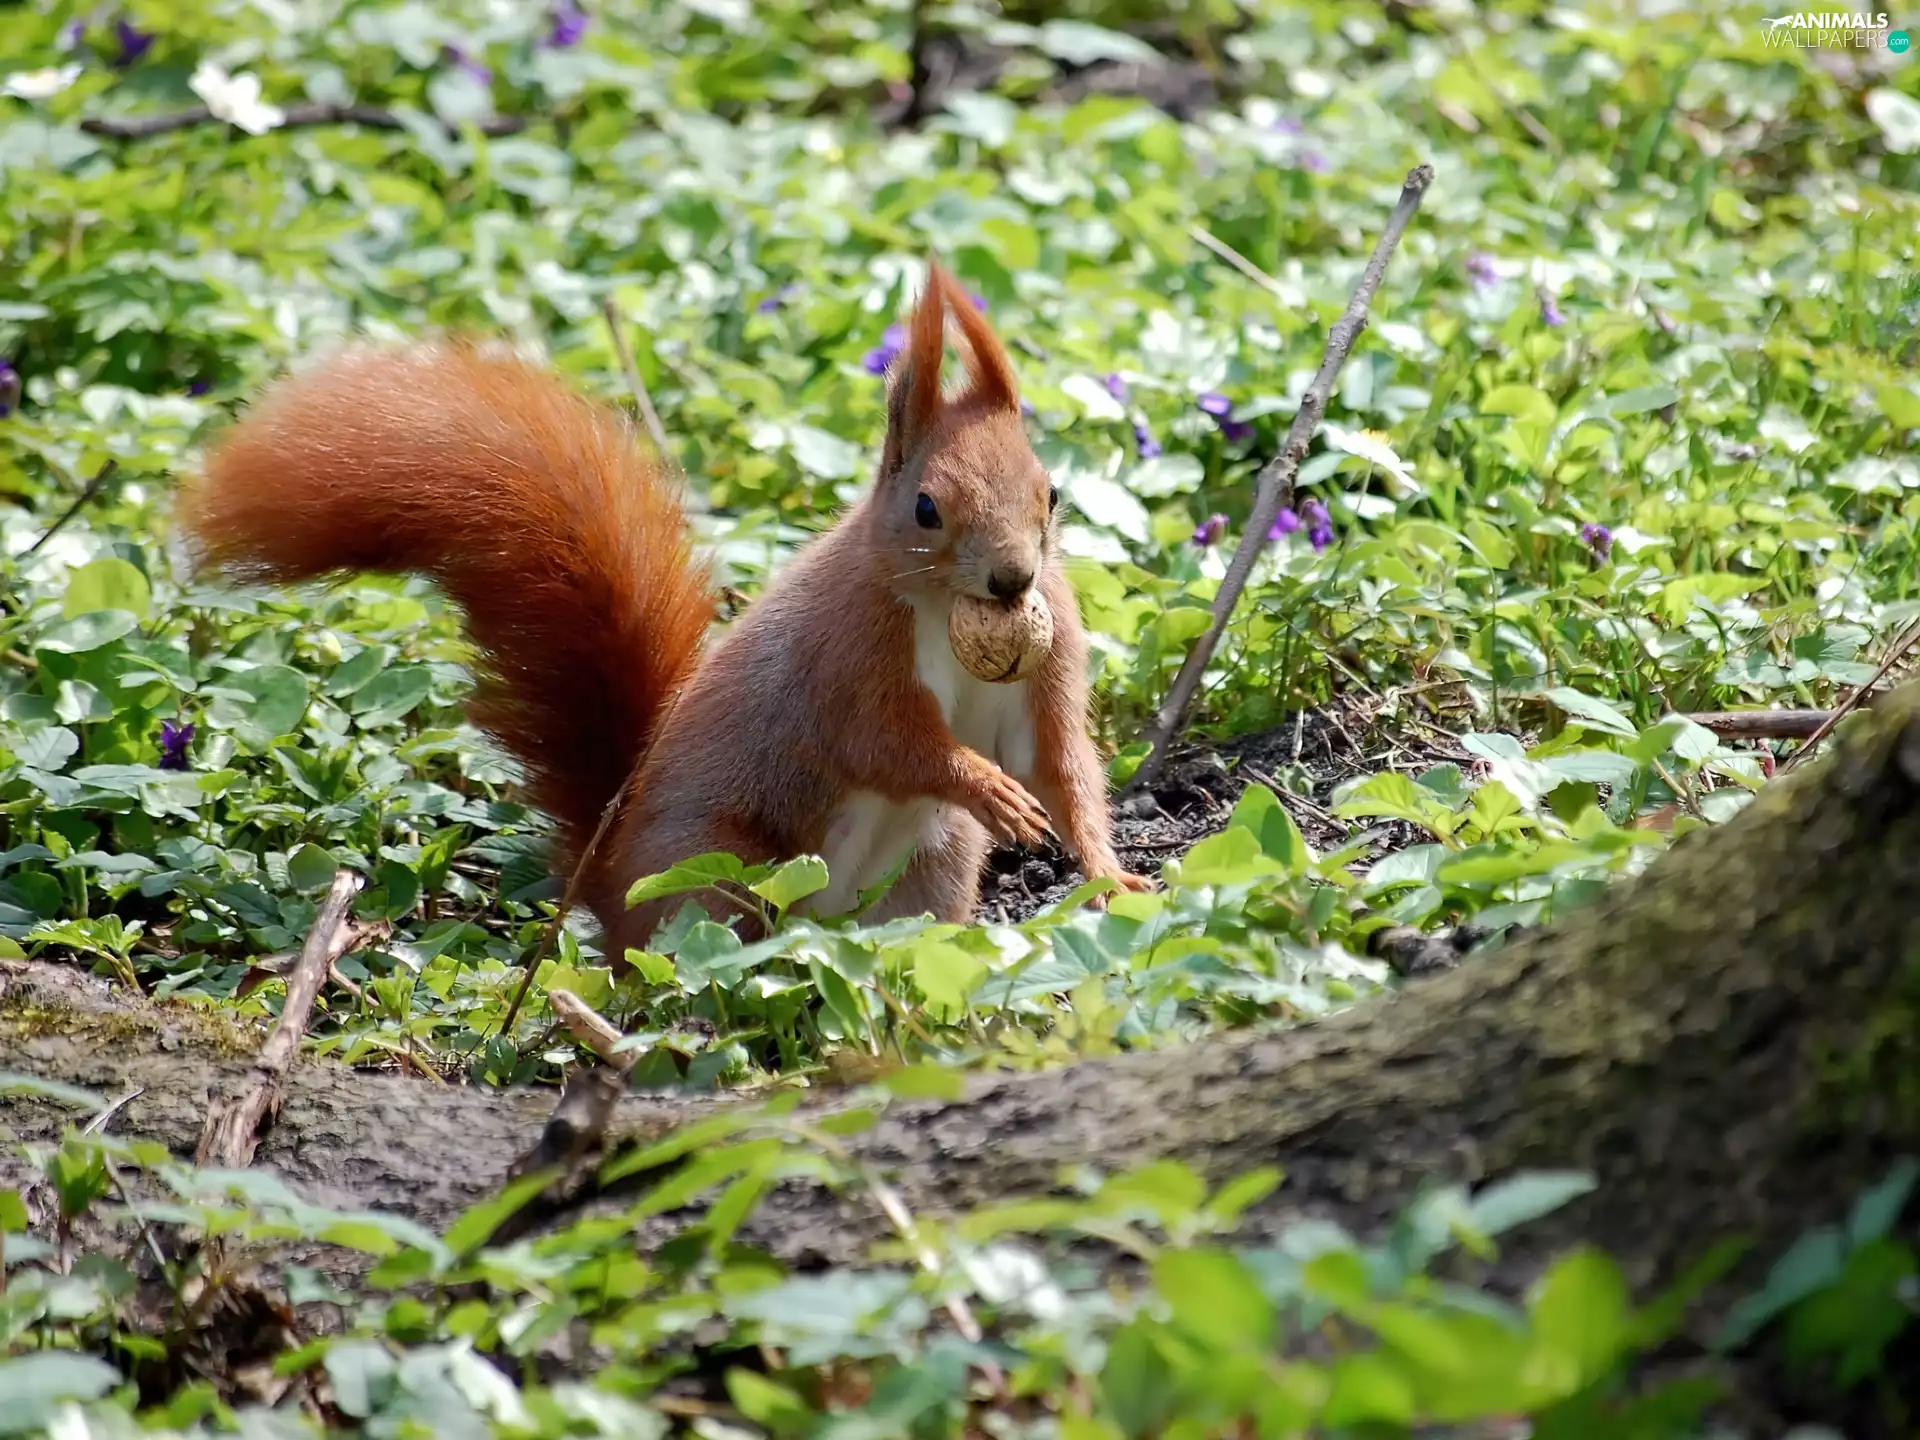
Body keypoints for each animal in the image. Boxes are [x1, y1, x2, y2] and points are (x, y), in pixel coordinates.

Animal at [179, 260, 1151, 967]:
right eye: (925, 509)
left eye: (1051, 493)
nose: (1013, 581)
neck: (944, 613)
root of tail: (605, 886)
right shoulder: (850, 659)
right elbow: (888, 745)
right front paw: (988, 787)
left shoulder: (1047, 669)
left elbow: (1062, 766)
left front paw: (1113, 878)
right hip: (720, 875)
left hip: (933, 865)